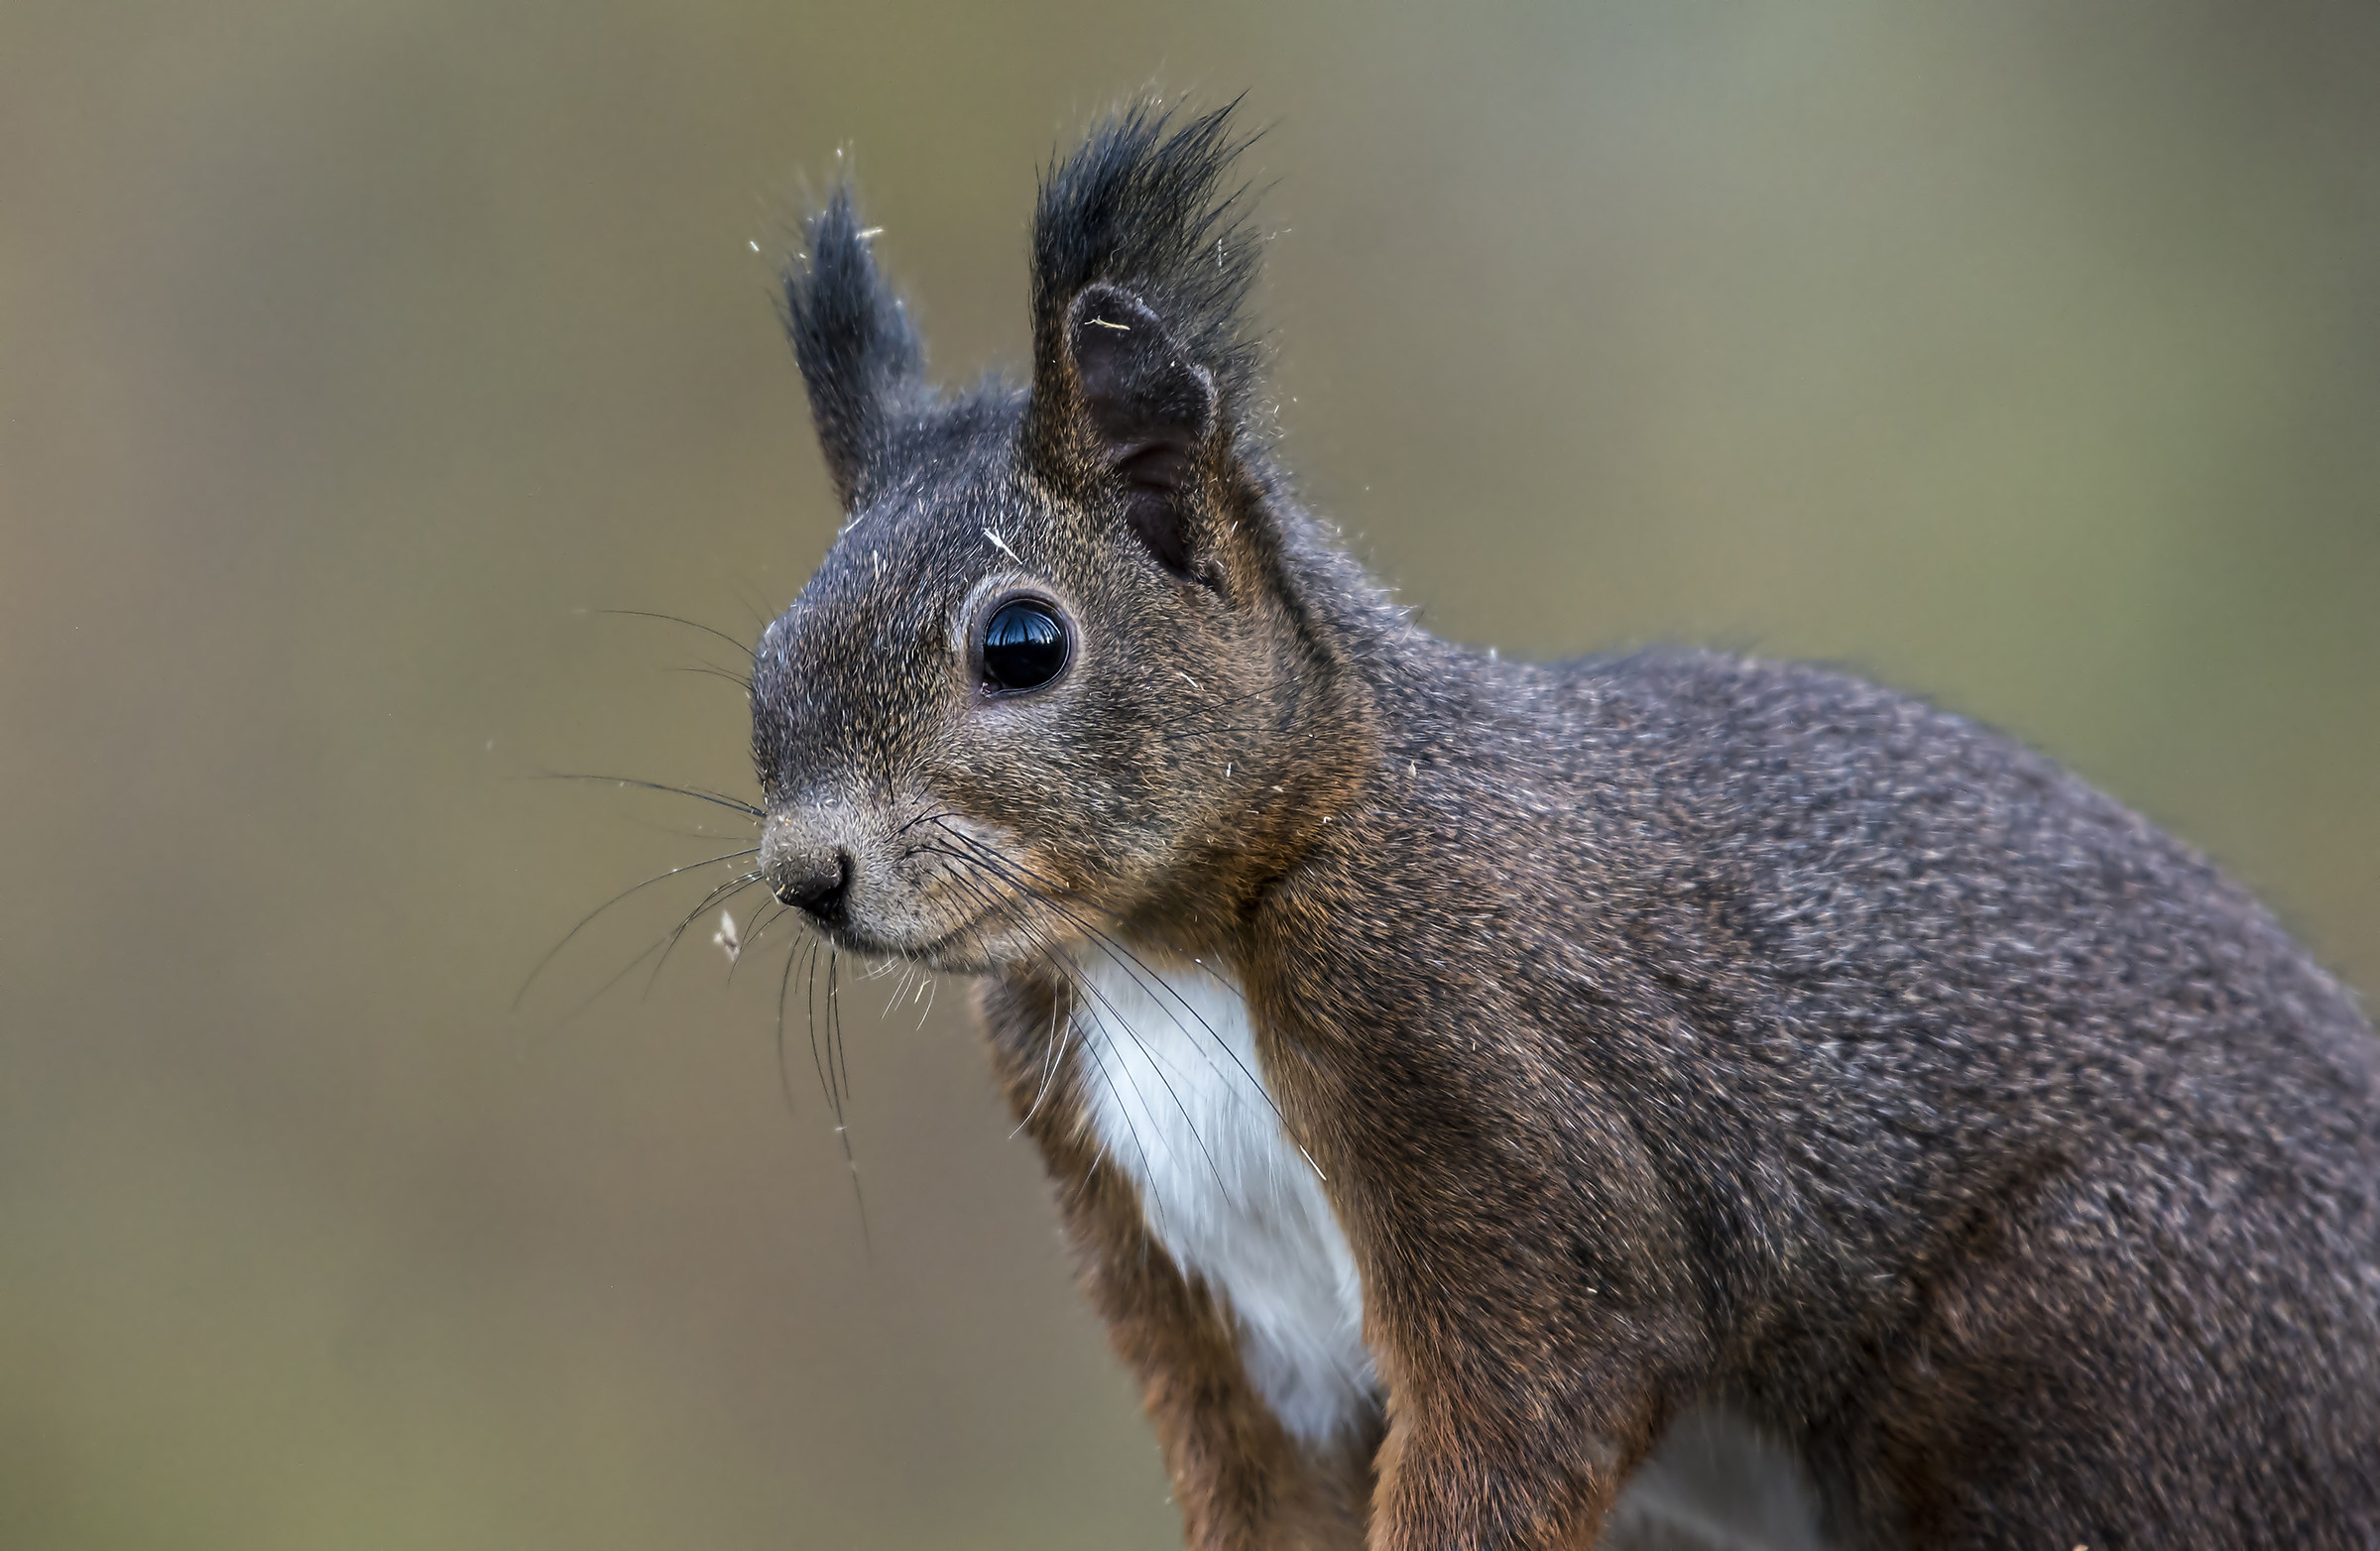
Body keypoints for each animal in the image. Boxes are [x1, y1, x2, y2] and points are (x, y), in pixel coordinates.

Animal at [750, 102, 2380, 1550]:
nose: (806, 873)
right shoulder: (1180, 1284)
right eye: (769, 646)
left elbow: (1530, 1406)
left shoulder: (1503, 1097)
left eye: (1023, 643)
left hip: (2106, 1337)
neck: (1161, 951)